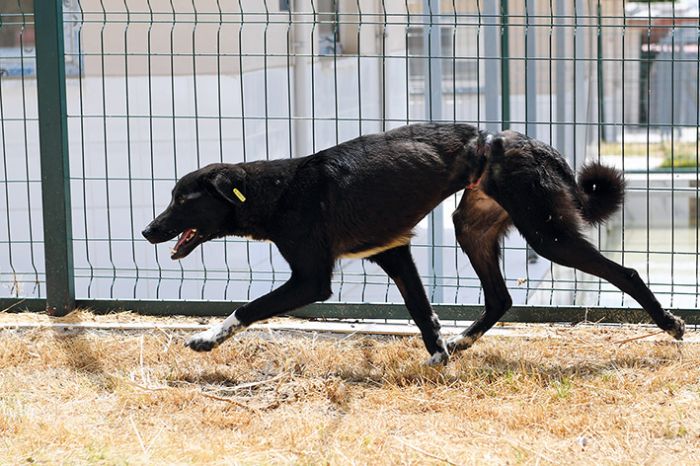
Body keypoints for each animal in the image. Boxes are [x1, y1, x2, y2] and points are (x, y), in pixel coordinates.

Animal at [141, 123, 684, 364]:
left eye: (182, 199)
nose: (148, 230)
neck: (278, 190)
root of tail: (532, 143)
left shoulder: (312, 279)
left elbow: (248, 307)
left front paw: (208, 338)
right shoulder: (393, 253)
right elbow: (422, 311)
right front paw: (440, 352)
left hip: (546, 236)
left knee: (626, 272)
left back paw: (670, 323)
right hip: (471, 227)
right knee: (501, 297)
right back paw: (463, 340)